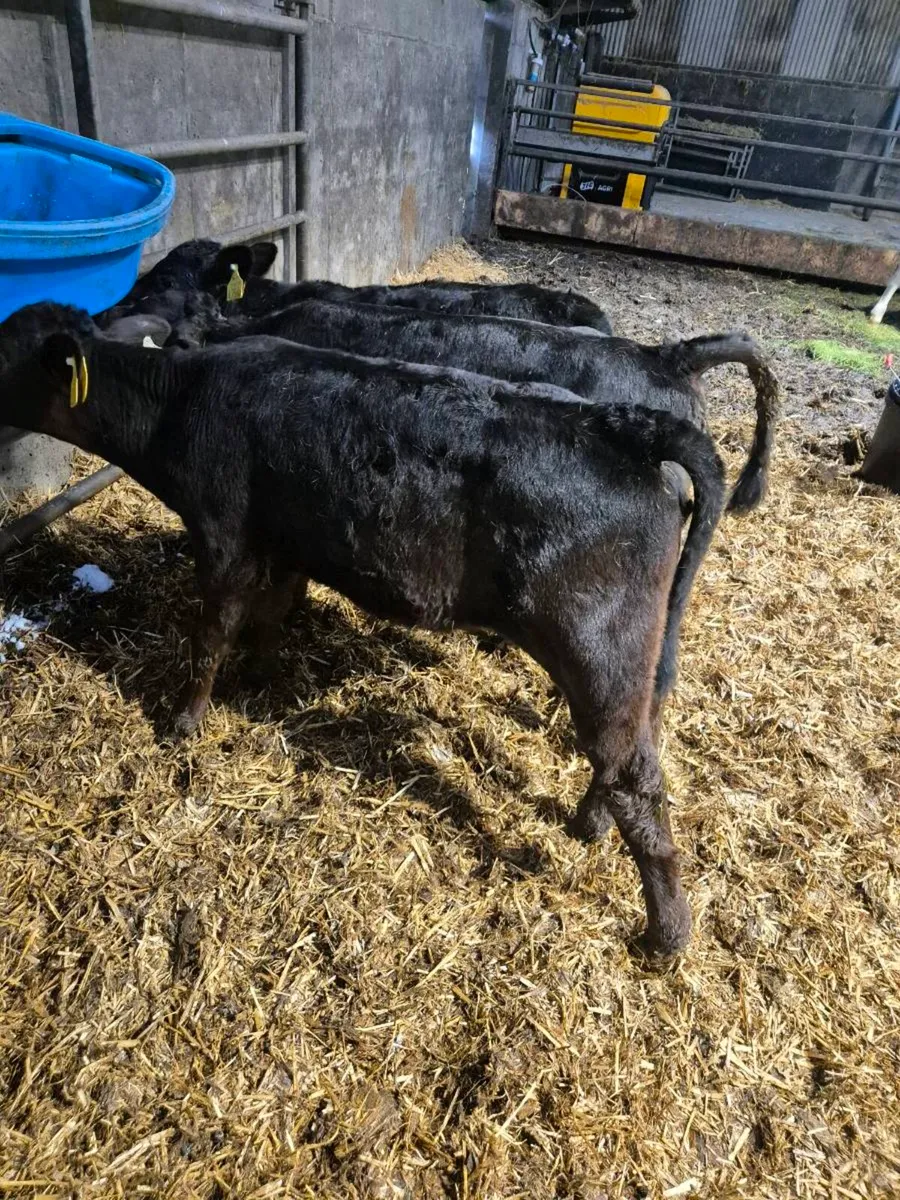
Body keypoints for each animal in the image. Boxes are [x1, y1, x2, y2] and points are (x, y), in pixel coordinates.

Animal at [0, 301, 727, 955]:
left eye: (7, 356)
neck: (181, 401)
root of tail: (621, 425)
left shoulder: (223, 534)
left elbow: (212, 633)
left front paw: (183, 722)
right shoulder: (284, 540)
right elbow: (272, 613)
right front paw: (262, 678)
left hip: (595, 645)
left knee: (635, 777)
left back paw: (667, 934)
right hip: (637, 652)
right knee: (640, 736)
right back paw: (590, 824)